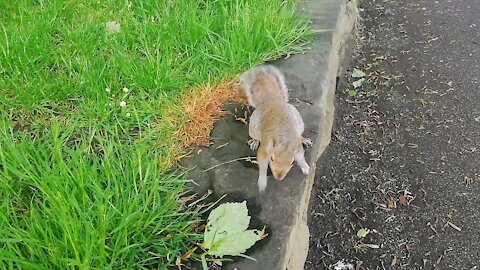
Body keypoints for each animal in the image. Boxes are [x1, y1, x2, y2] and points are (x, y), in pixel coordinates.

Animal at [238, 64, 314, 193]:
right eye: (272, 158)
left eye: (292, 162)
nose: (279, 177)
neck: (284, 139)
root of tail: (271, 100)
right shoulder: (265, 148)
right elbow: (262, 162)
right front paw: (262, 182)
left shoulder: (296, 147)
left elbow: (301, 157)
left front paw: (304, 166)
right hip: (253, 127)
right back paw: (255, 141)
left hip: (298, 122)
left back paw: (304, 139)